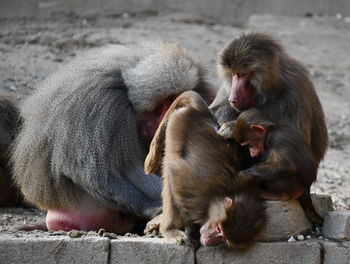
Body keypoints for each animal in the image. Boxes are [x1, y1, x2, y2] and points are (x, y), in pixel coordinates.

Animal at [143, 91, 266, 248]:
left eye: (223, 238)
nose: (208, 240)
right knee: (171, 163)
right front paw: (189, 230)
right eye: (219, 229)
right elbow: (174, 175)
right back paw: (170, 230)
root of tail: (204, 115)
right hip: (180, 122)